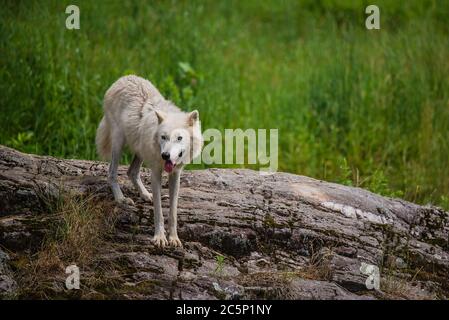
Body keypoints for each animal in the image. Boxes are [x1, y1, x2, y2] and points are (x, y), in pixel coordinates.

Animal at [95, 75, 202, 248]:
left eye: (179, 138)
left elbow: (173, 211)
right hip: (118, 143)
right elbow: (158, 211)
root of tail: (123, 78)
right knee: (111, 173)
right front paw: (159, 237)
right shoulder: (155, 172)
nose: (165, 155)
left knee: (131, 172)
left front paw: (174, 238)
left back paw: (146, 194)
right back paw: (121, 199)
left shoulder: (175, 175)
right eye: (163, 137)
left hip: (140, 150)